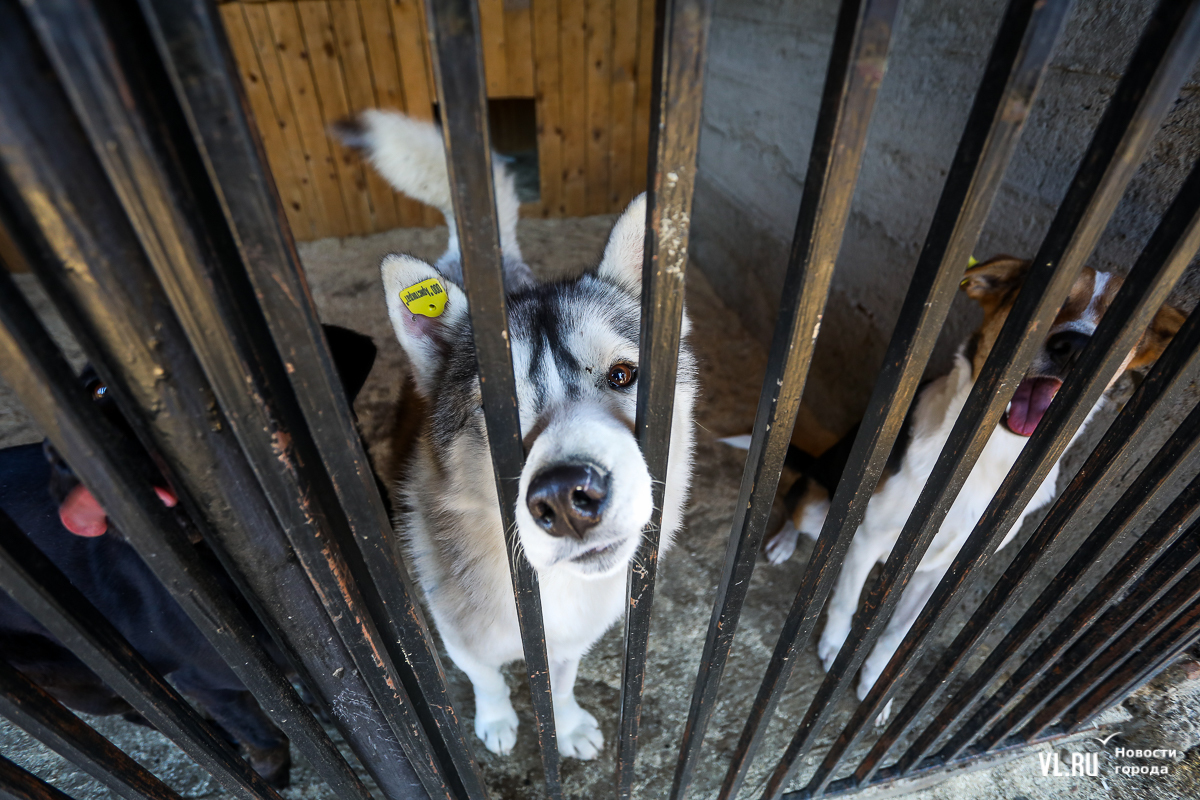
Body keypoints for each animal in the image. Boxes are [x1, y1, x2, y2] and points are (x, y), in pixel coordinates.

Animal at [744, 255, 1185, 714]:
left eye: (1129, 328)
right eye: (1052, 295)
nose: (1074, 348)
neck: (986, 459)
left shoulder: (942, 573)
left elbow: (894, 637)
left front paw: (874, 686)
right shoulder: (867, 537)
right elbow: (845, 601)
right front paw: (832, 648)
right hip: (819, 507)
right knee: (798, 510)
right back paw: (783, 541)